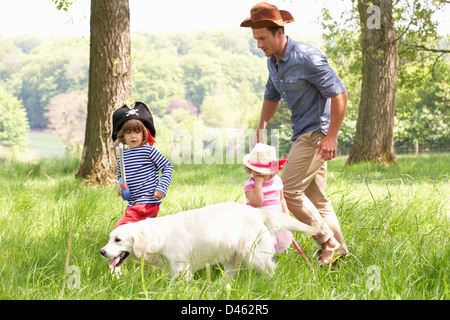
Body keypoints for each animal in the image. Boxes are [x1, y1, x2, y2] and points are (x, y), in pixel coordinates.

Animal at [101, 202, 320, 280]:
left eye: (118, 240)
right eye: (110, 239)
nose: (102, 252)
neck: (158, 237)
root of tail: (256, 211)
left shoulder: (180, 267)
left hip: (255, 255)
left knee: (270, 271)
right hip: (231, 256)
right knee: (230, 275)